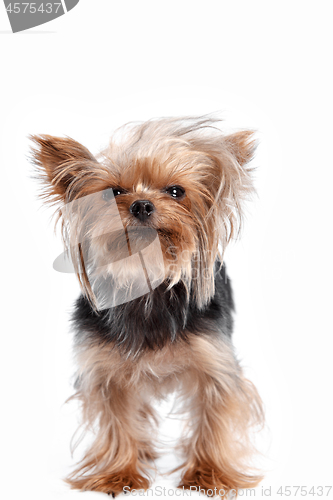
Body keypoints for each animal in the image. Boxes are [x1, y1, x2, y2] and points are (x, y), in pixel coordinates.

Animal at [31, 117, 264, 496]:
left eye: (176, 191)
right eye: (113, 192)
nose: (141, 204)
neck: (145, 280)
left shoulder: (214, 363)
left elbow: (214, 415)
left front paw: (209, 474)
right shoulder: (105, 370)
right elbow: (117, 421)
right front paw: (118, 474)